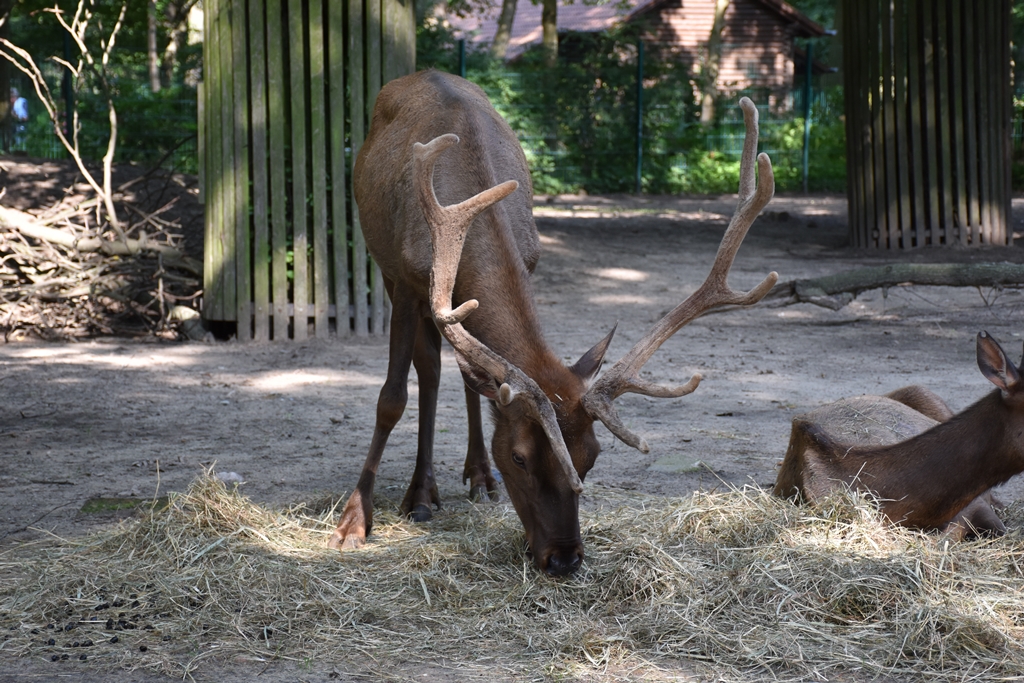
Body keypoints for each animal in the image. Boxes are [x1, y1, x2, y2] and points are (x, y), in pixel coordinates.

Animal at [328, 69, 777, 575]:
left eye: (592, 458)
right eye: (520, 457)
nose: (564, 558)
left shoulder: (526, 264)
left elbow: (481, 380)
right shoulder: (405, 283)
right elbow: (391, 399)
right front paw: (353, 523)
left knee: (465, 378)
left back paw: (477, 476)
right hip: (386, 265)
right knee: (430, 367)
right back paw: (421, 494)